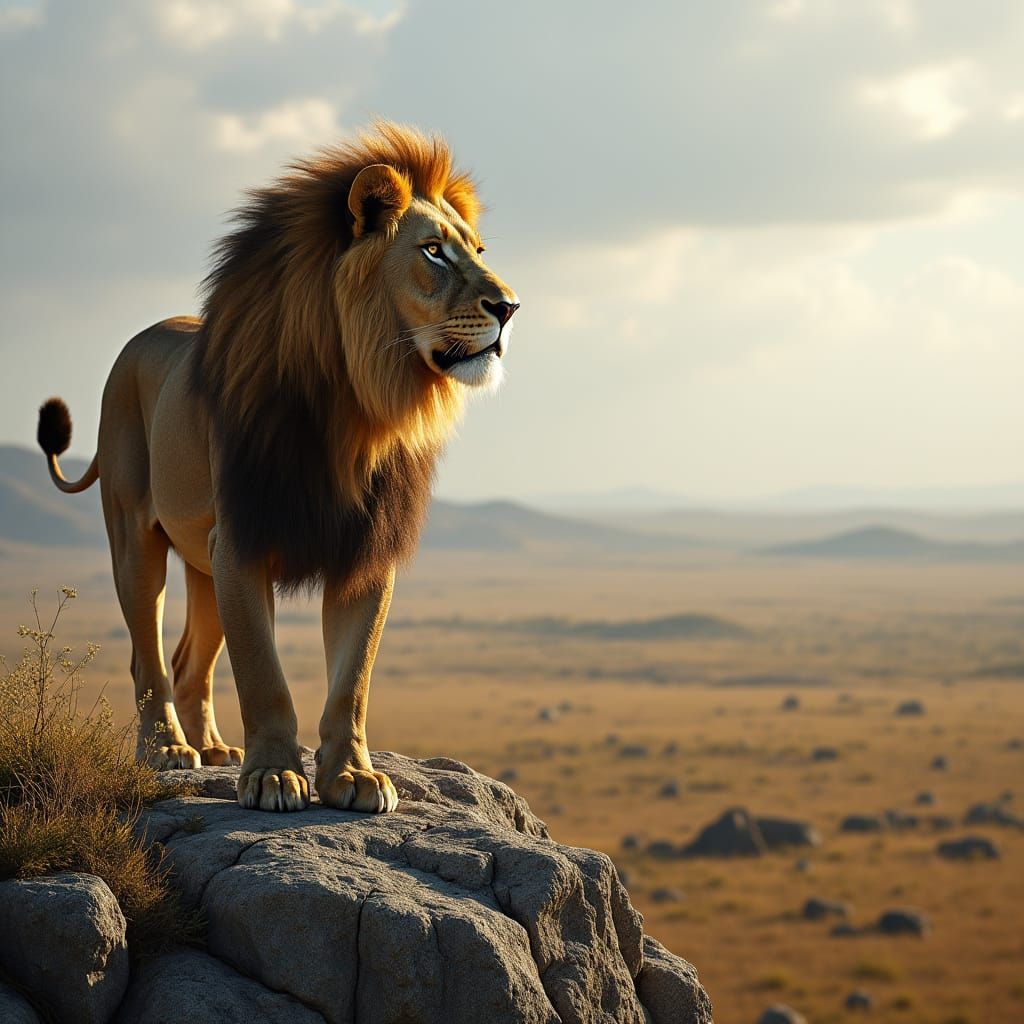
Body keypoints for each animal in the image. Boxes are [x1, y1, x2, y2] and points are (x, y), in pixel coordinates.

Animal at [35, 122, 519, 814]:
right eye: (433, 252)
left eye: (477, 250)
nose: (509, 307)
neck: (360, 406)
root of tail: (138, 340)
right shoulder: (243, 538)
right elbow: (263, 673)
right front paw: (272, 775)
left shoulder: (364, 553)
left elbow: (352, 682)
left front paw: (355, 776)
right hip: (135, 538)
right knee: (148, 658)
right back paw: (168, 749)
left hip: (204, 564)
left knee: (189, 661)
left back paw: (213, 747)